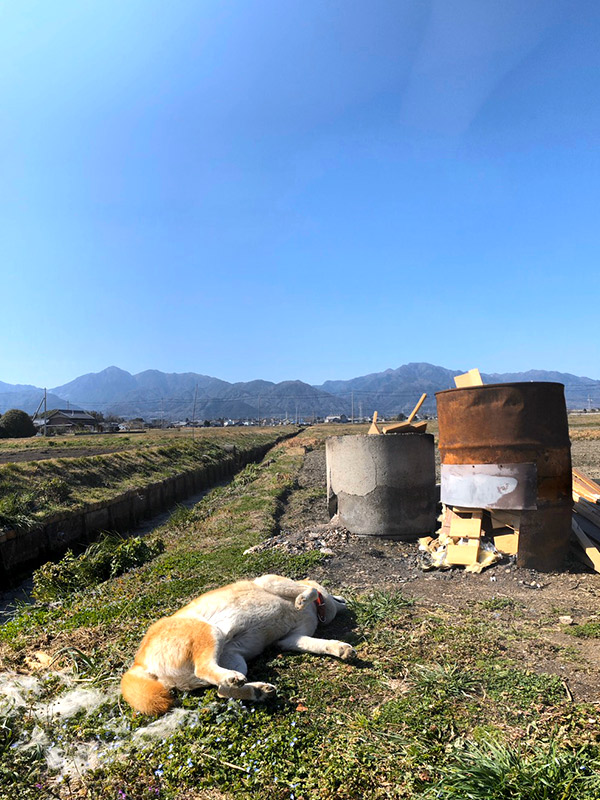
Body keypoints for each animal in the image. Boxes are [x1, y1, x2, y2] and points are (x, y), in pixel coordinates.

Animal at [122, 572, 356, 716]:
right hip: (212, 632)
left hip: (234, 659)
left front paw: (339, 648)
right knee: (205, 669)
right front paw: (303, 599)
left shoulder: (291, 639)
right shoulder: (270, 581)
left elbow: (320, 644)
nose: (348, 600)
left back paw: (257, 691)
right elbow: (312, 591)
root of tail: (138, 663)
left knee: (221, 691)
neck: (317, 611)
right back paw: (237, 681)